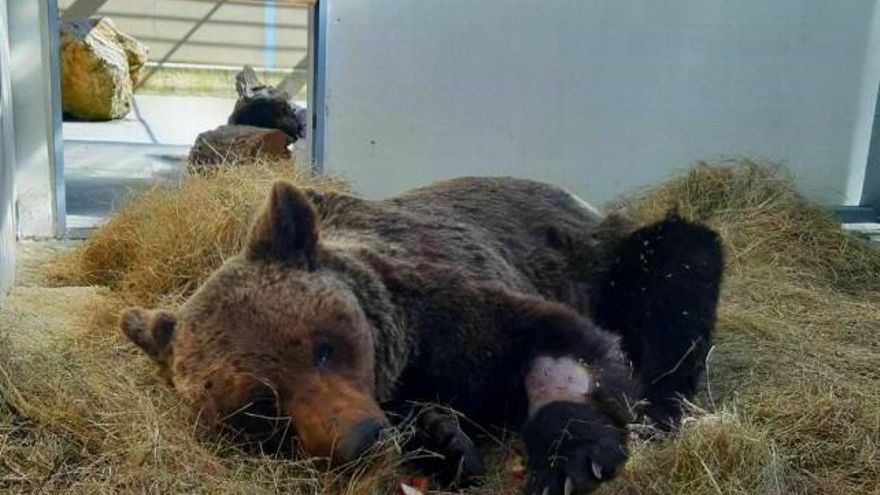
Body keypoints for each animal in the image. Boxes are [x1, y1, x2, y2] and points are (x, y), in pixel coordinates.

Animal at [119, 176, 723, 494]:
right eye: (260, 407)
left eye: (322, 347)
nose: (360, 438)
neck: (405, 359)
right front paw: (443, 441)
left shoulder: (454, 304)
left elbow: (559, 348)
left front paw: (570, 459)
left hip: (615, 257)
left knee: (678, 272)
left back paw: (666, 406)